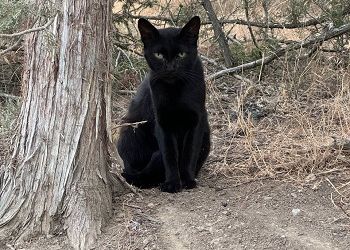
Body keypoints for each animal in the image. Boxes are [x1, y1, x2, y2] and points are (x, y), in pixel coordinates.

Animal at [117, 16, 211, 193]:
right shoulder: (162, 122)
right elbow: (169, 154)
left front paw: (187, 180)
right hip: (130, 129)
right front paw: (172, 183)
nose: (170, 68)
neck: (175, 90)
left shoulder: (197, 120)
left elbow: (190, 152)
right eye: (159, 55)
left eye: (181, 54)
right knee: (135, 171)